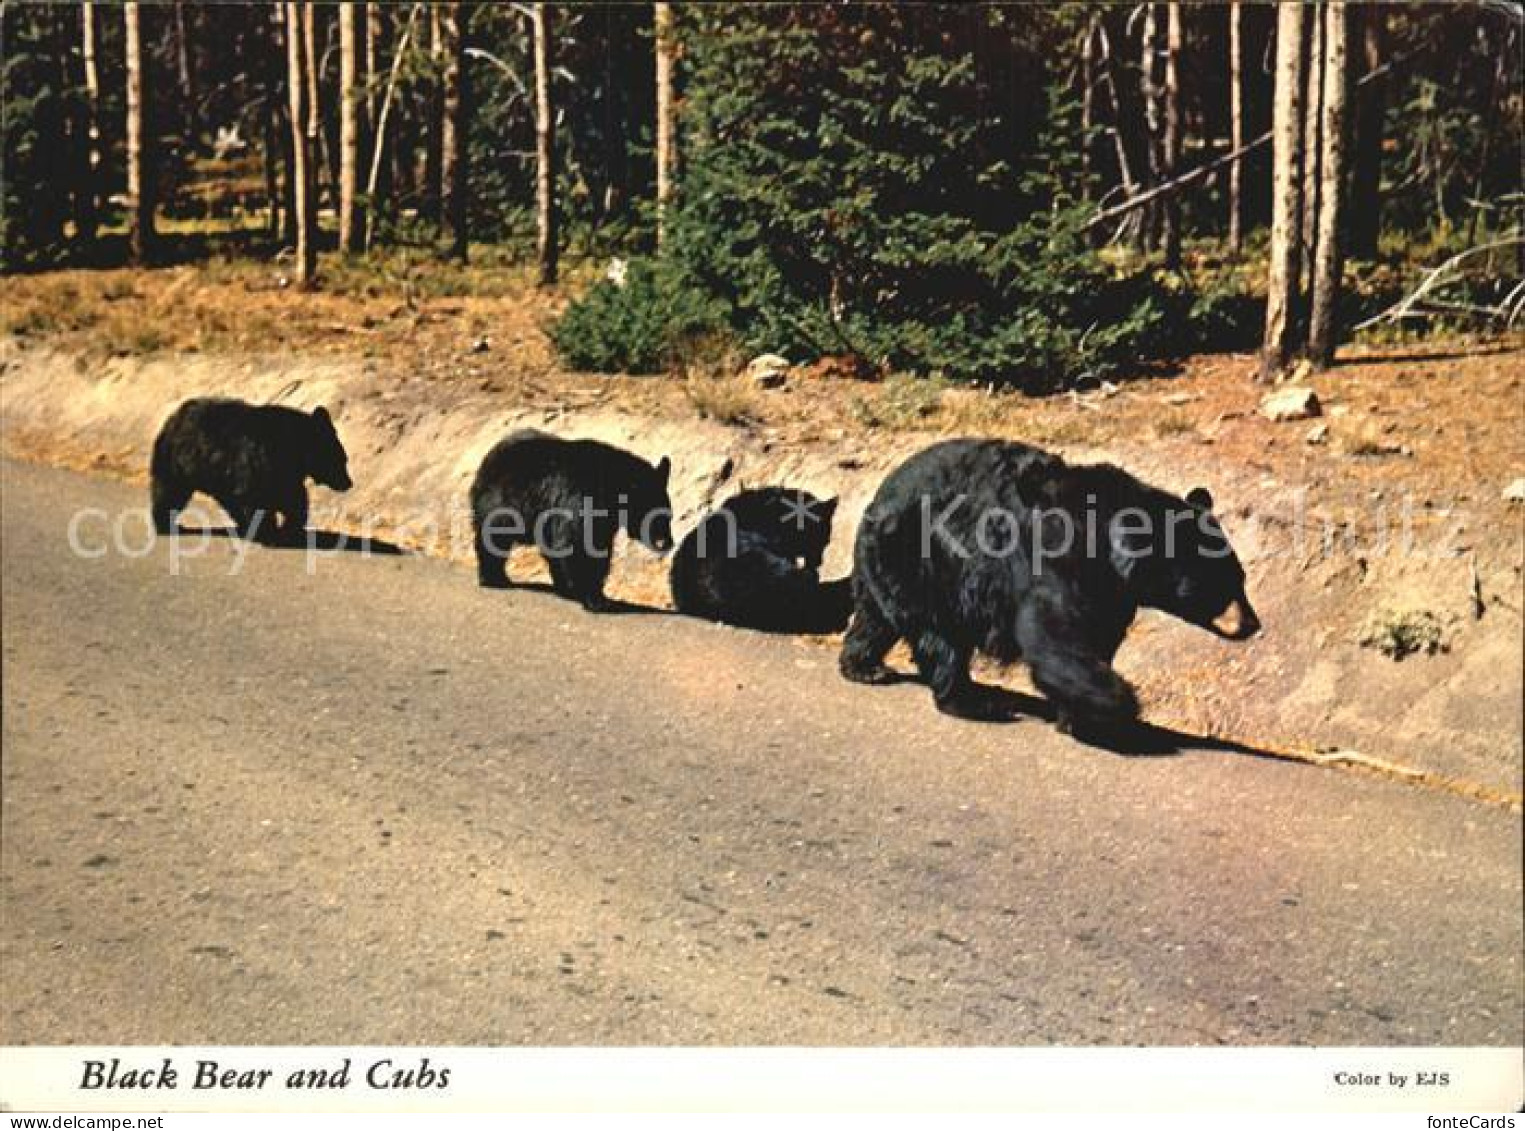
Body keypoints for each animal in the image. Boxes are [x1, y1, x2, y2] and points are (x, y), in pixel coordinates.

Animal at [151, 399, 353, 545]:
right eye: (339, 461)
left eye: (345, 459)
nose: (348, 483)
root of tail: (172, 418)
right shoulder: (257, 465)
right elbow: (257, 499)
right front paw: (269, 534)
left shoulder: (285, 475)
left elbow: (293, 499)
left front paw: (290, 530)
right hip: (177, 463)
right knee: (169, 492)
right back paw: (166, 526)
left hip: (215, 475)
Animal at [469, 432, 674, 612]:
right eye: (657, 516)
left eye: (669, 515)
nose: (667, 542)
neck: (612, 489)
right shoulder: (582, 499)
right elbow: (581, 545)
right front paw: (596, 600)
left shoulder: (606, 518)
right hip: (502, 502)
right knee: (494, 538)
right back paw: (494, 579)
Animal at [841, 432, 1256, 734]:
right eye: (1225, 588)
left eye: (1241, 579)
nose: (1253, 624)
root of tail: (878, 497)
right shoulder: (1057, 559)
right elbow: (1054, 633)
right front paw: (1115, 706)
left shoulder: (1112, 595)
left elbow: (1097, 637)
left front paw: (1077, 714)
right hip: (923, 562)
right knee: (941, 638)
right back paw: (974, 702)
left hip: (887, 571)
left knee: (875, 619)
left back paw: (865, 667)